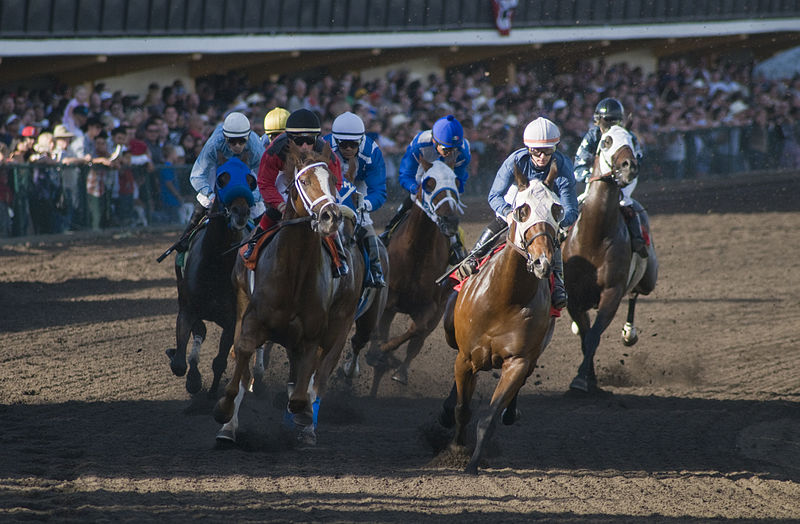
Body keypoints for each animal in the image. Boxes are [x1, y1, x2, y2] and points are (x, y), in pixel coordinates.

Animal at [166, 157, 256, 398]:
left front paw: (211, 395)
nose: (240, 212)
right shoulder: (188, 309)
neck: (216, 265)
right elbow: (179, 363)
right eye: (221, 180)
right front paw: (193, 380)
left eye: (250, 180)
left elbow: (219, 362)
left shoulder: (232, 320)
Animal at [214, 141, 360, 444]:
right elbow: (243, 356)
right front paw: (224, 412)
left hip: (341, 321)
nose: (330, 216)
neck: (294, 273)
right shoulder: (252, 319)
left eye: (333, 180)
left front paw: (302, 418)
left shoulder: (312, 333)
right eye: (304, 181)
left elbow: (303, 389)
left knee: (320, 376)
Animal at [368, 157, 462, 384]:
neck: (417, 252)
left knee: (417, 342)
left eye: (456, 181)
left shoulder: (430, 307)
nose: (450, 221)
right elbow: (380, 329)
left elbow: (415, 330)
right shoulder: (390, 299)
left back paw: (400, 372)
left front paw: (387, 353)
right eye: (429, 183)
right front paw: (377, 353)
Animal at [438, 170, 564, 472]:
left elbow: (489, 417)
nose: (543, 262)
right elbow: (463, 408)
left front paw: (473, 463)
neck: (505, 299)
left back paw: (510, 412)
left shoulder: (518, 361)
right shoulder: (466, 357)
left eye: (556, 209)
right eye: (522, 210)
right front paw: (456, 448)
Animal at [560, 124, 660, 392]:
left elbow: (594, 336)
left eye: (633, 142)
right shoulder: (573, 296)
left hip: (649, 278)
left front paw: (582, 380)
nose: (629, 166)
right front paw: (587, 379)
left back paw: (629, 333)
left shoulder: (612, 291)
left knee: (635, 293)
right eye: (606, 141)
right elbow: (585, 337)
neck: (593, 238)